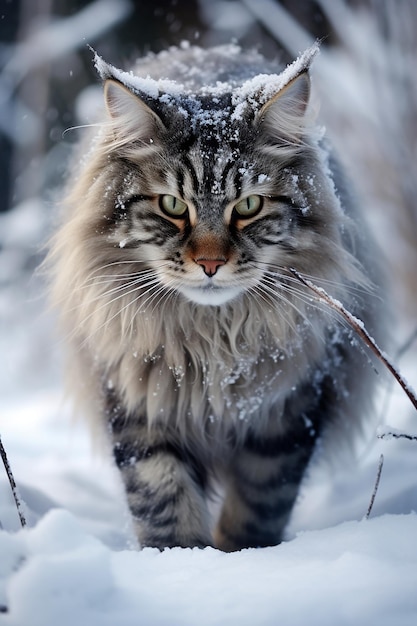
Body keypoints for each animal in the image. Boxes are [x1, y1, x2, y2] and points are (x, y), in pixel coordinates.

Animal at [48, 42, 384, 552]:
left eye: (248, 206)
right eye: (172, 206)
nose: (210, 263)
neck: (212, 341)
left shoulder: (288, 413)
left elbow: (258, 506)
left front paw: (236, 557)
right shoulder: (137, 403)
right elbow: (163, 500)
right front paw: (183, 559)